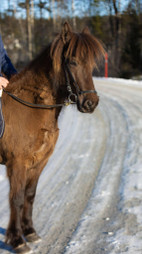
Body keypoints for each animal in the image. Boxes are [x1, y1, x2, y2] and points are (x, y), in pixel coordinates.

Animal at [0, 22, 104, 253]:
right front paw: (17, 240)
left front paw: (30, 232)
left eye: (92, 63)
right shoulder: (17, 163)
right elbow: (17, 198)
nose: (91, 104)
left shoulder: (39, 161)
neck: (32, 107)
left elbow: (30, 195)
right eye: (73, 61)